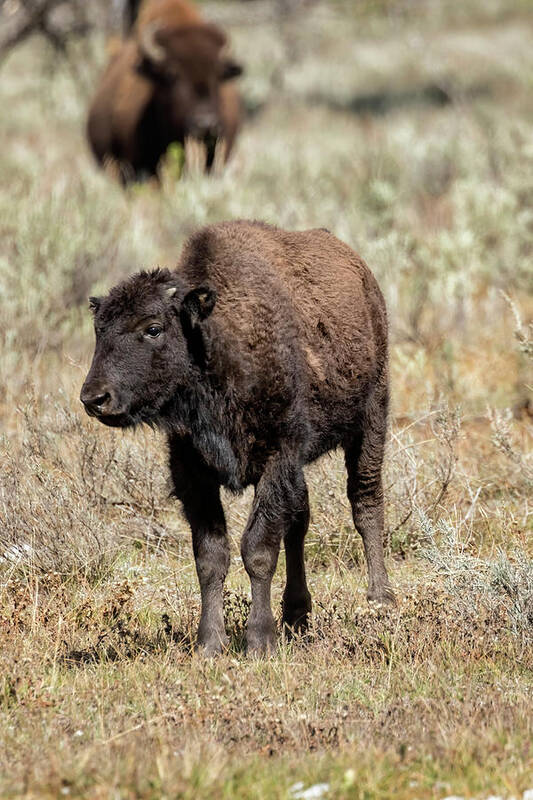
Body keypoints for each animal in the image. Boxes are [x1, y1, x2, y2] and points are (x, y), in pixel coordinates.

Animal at [80, 220, 394, 656]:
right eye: (99, 331)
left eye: (153, 329)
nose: (95, 398)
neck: (214, 341)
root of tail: (363, 275)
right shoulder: (194, 472)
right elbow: (212, 556)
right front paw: (209, 644)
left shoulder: (277, 459)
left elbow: (257, 549)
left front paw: (259, 641)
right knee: (300, 521)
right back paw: (296, 614)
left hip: (371, 417)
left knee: (365, 502)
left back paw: (380, 598)